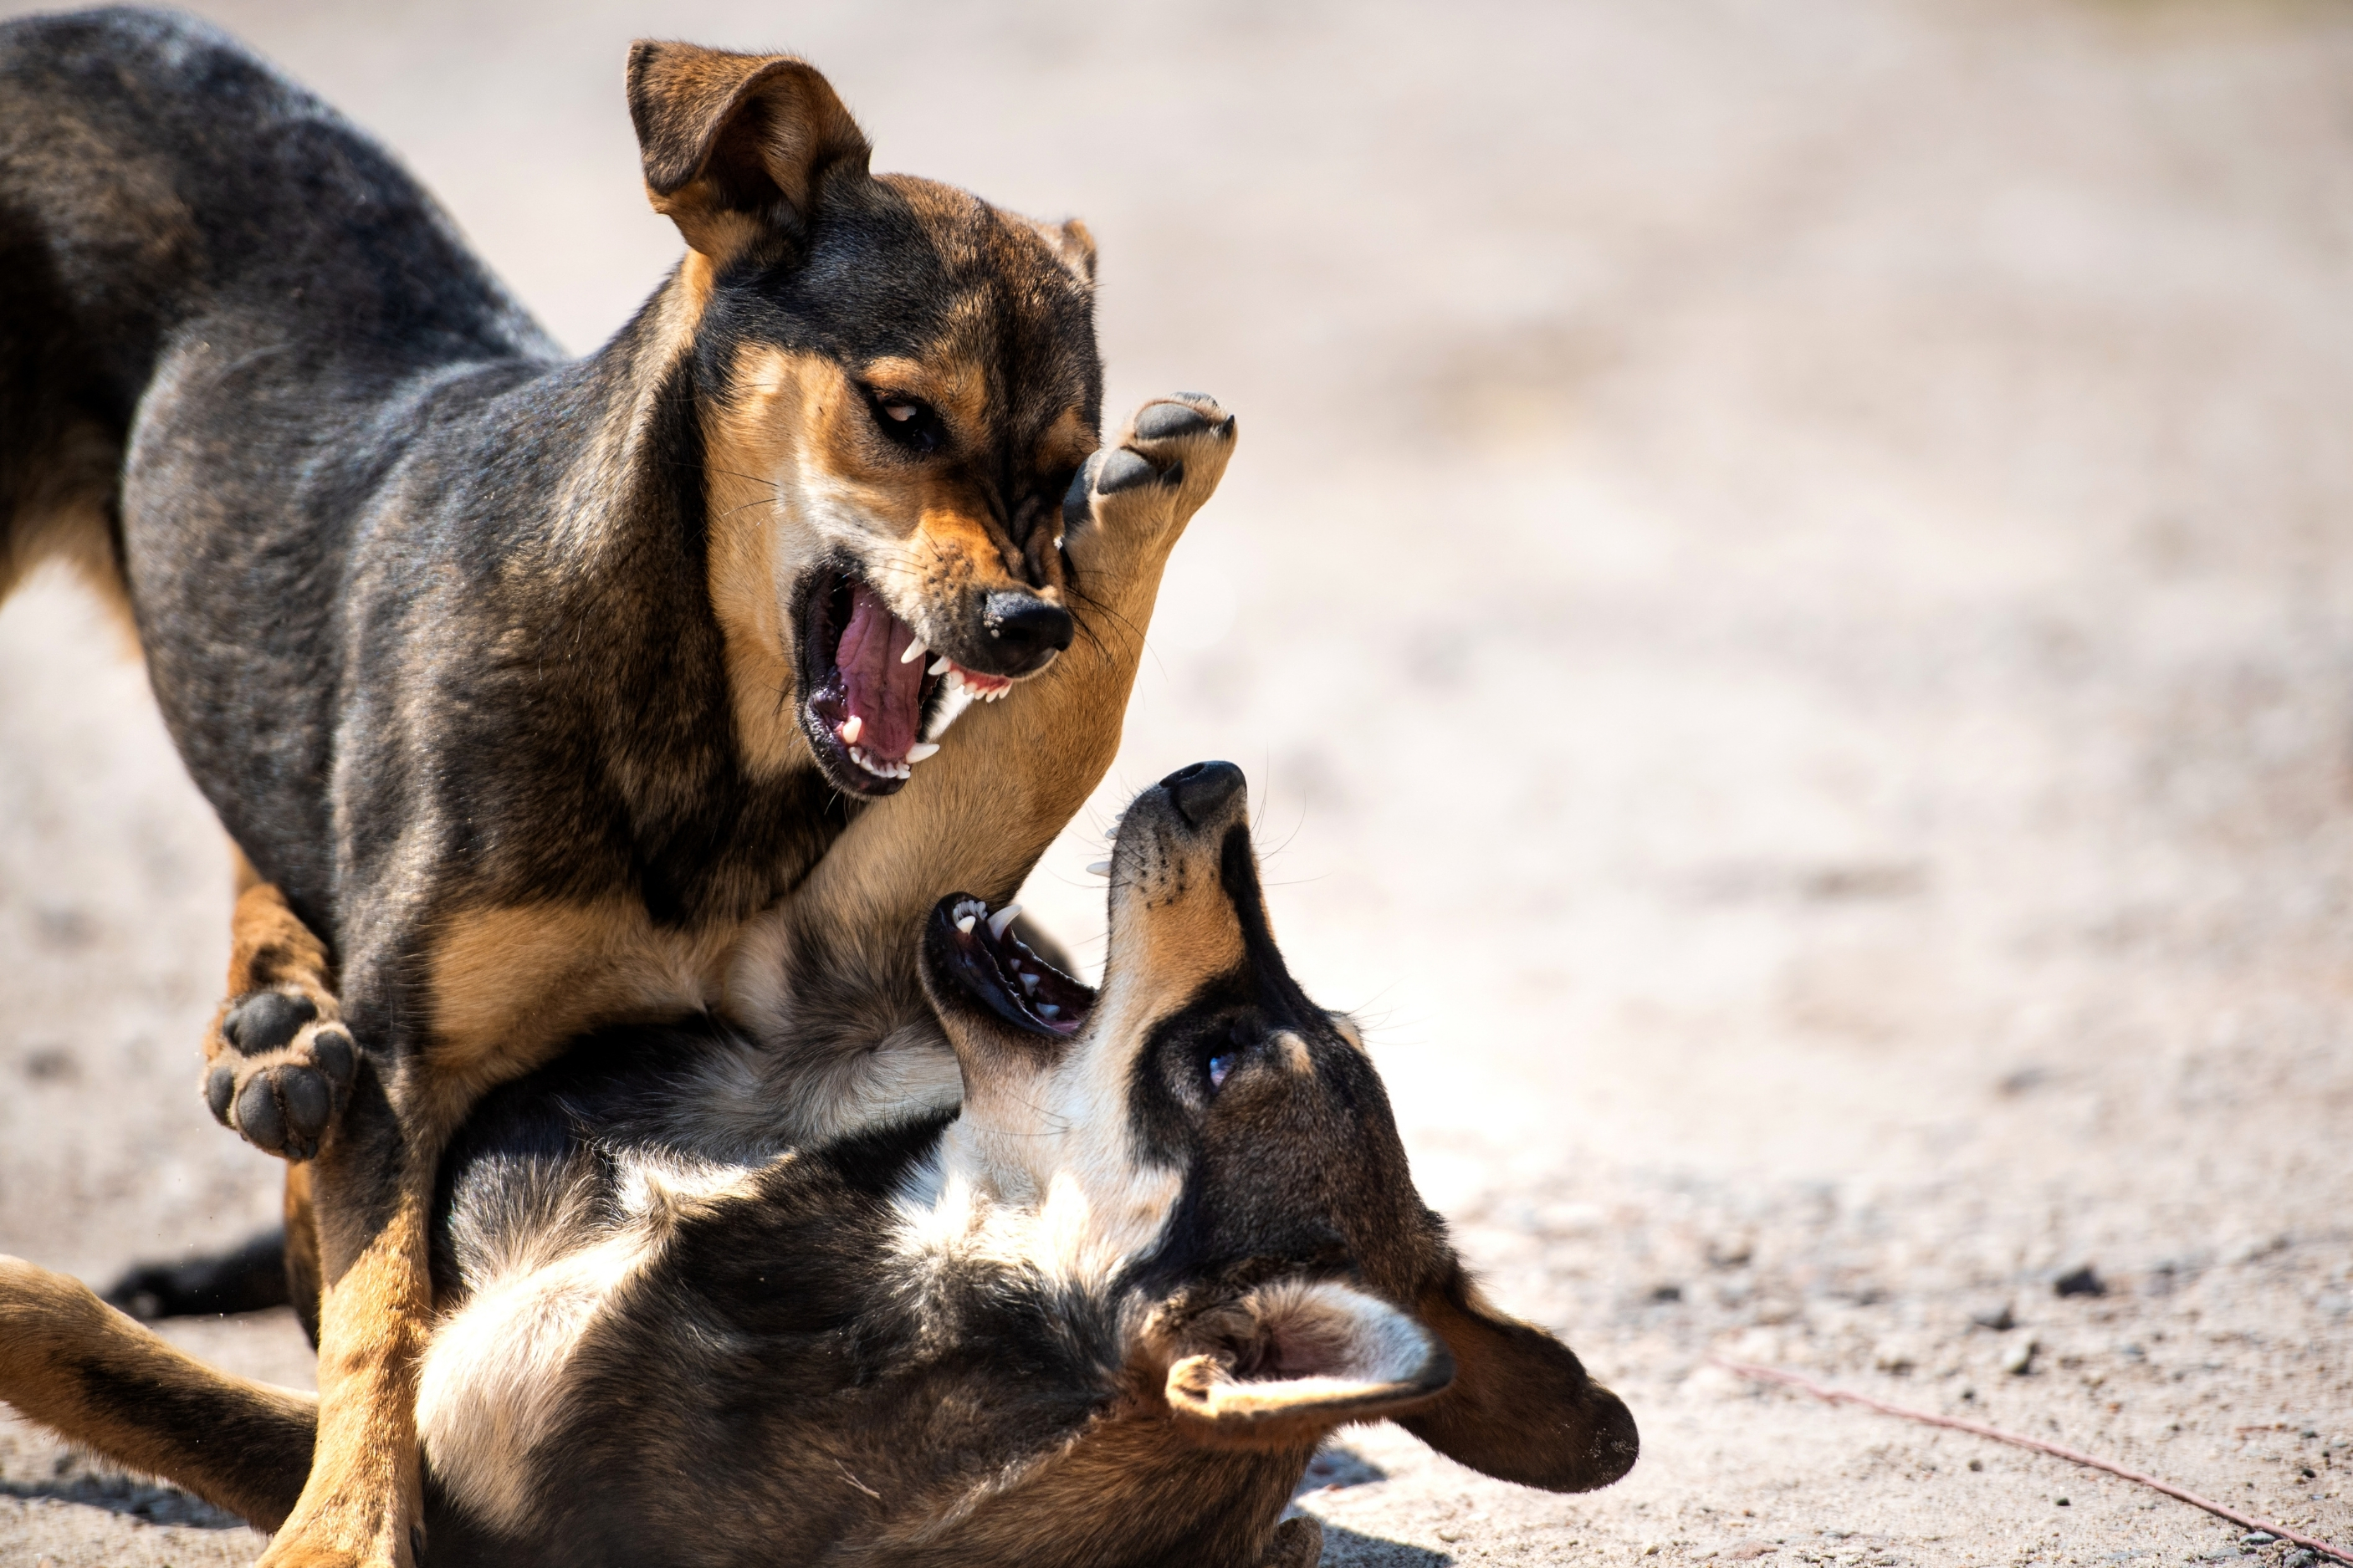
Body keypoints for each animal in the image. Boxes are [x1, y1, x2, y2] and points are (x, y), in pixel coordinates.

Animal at [4, 15, 1233, 1568]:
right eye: (901, 415)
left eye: (1063, 468)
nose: (1030, 625)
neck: (704, 735)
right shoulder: (410, 1071)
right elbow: (378, 1320)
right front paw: (346, 1521)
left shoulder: (850, 931)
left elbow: (1058, 740)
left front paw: (1142, 526)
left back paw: (273, 1036)